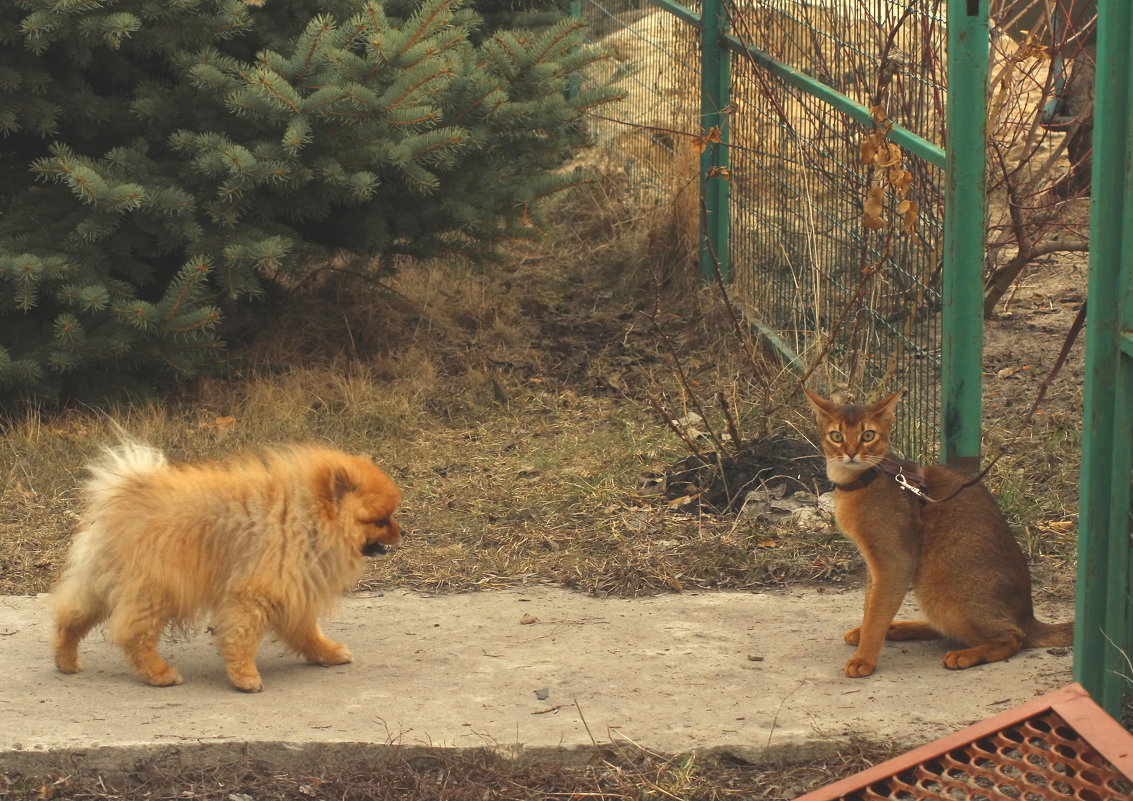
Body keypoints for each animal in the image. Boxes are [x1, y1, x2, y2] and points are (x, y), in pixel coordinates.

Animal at [49, 441, 403, 693]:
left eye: (391, 517)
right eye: (381, 520)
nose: (402, 532)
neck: (303, 518)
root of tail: (121, 495)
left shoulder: (292, 591)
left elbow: (306, 632)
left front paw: (326, 653)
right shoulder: (253, 595)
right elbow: (241, 638)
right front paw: (245, 678)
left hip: (100, 582)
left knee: (70, 617)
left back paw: (66, 661)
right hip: (155, 590)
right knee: (134, 634)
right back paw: (159, 674)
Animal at [802, 387, 1074, 675]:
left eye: (868, 435)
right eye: (837, 436)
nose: (852, 453)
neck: (863, 481)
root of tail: (1028, 617)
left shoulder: (894, 561)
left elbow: (876, 612)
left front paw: (864, 659)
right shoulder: (873, 565)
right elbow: (870, 604)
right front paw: (864, 634)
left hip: (941, 594)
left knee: (1013, 638)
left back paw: (963, 656)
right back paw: (899, 628)